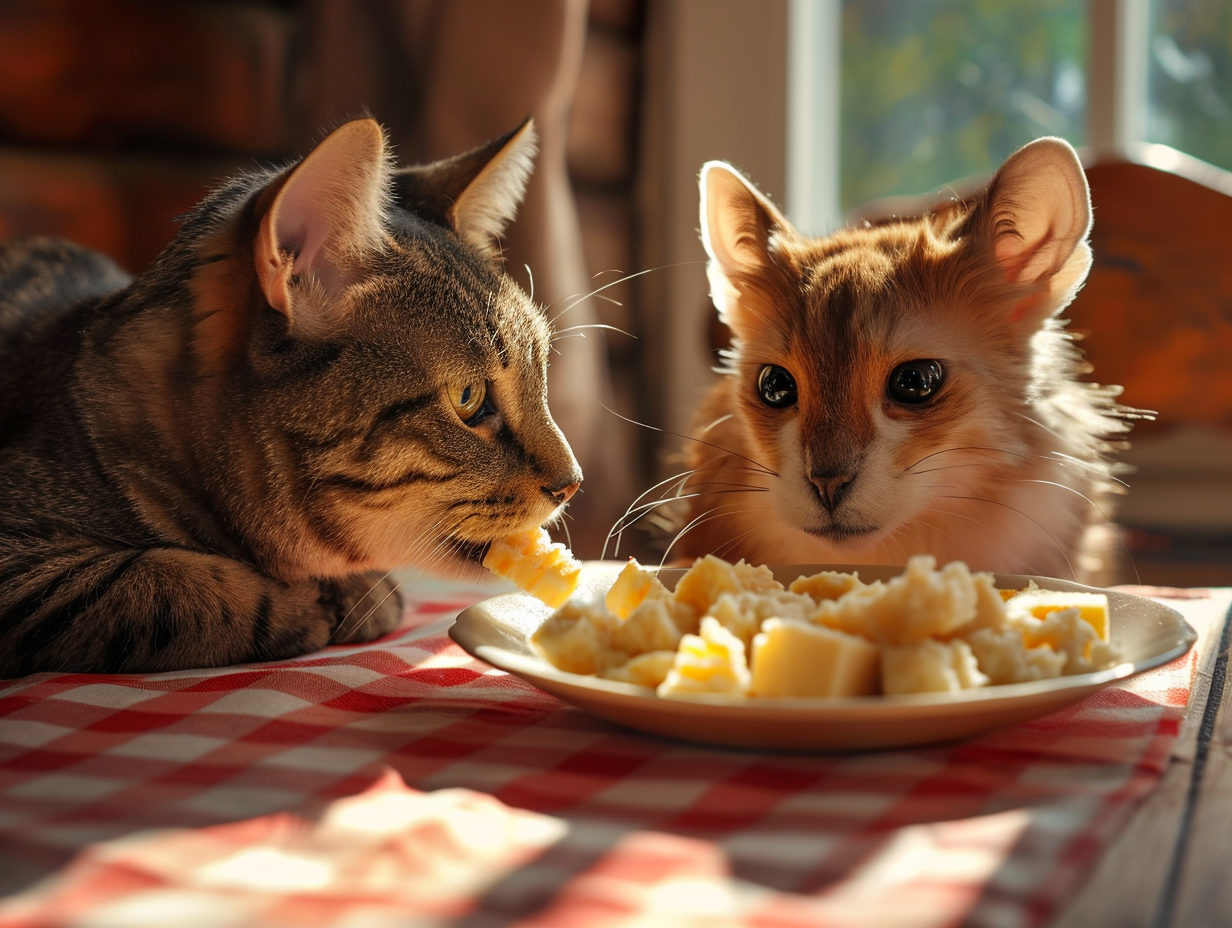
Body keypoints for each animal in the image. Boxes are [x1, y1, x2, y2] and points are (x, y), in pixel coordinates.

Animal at [0, 119, 581, 675]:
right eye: (468, 398)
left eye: (541, 379)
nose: (572, 484)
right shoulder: (24, 562)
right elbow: (172, 582)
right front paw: (306, 603)